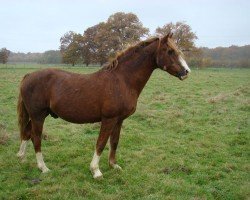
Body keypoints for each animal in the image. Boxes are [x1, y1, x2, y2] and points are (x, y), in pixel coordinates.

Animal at [16, 33, 190, 179]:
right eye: (170, 51)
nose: (186, 72)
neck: (122, 80)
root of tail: (28, 76)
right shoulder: (108, 119)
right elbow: (100, 143)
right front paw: (96, 170)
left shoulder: (119, 120)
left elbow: (114, 142)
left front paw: (113, 165)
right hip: (38, 115)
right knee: (36, 138)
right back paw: (43, 167)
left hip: (39, 115)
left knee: (27, 133)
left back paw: (21, 158)